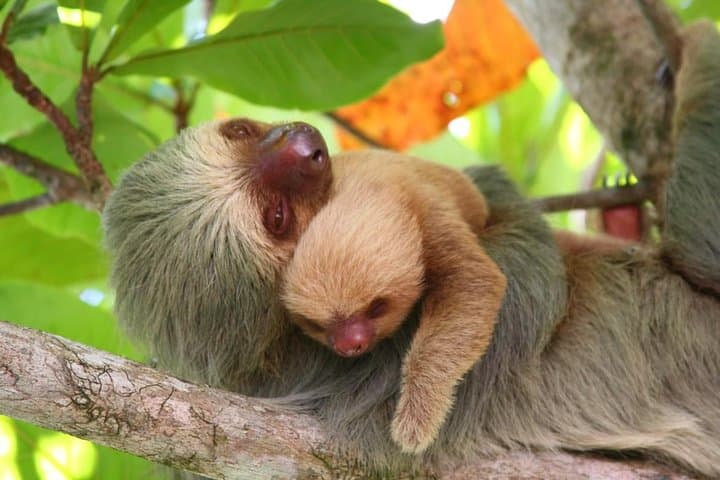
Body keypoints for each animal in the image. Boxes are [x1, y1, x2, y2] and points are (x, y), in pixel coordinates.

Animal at [281, 152, 507, 453]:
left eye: (376, 307)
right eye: (317, 324)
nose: (350, 343)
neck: (365, 186)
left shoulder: (429, 214)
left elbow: (471, 281)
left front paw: (417, 416)